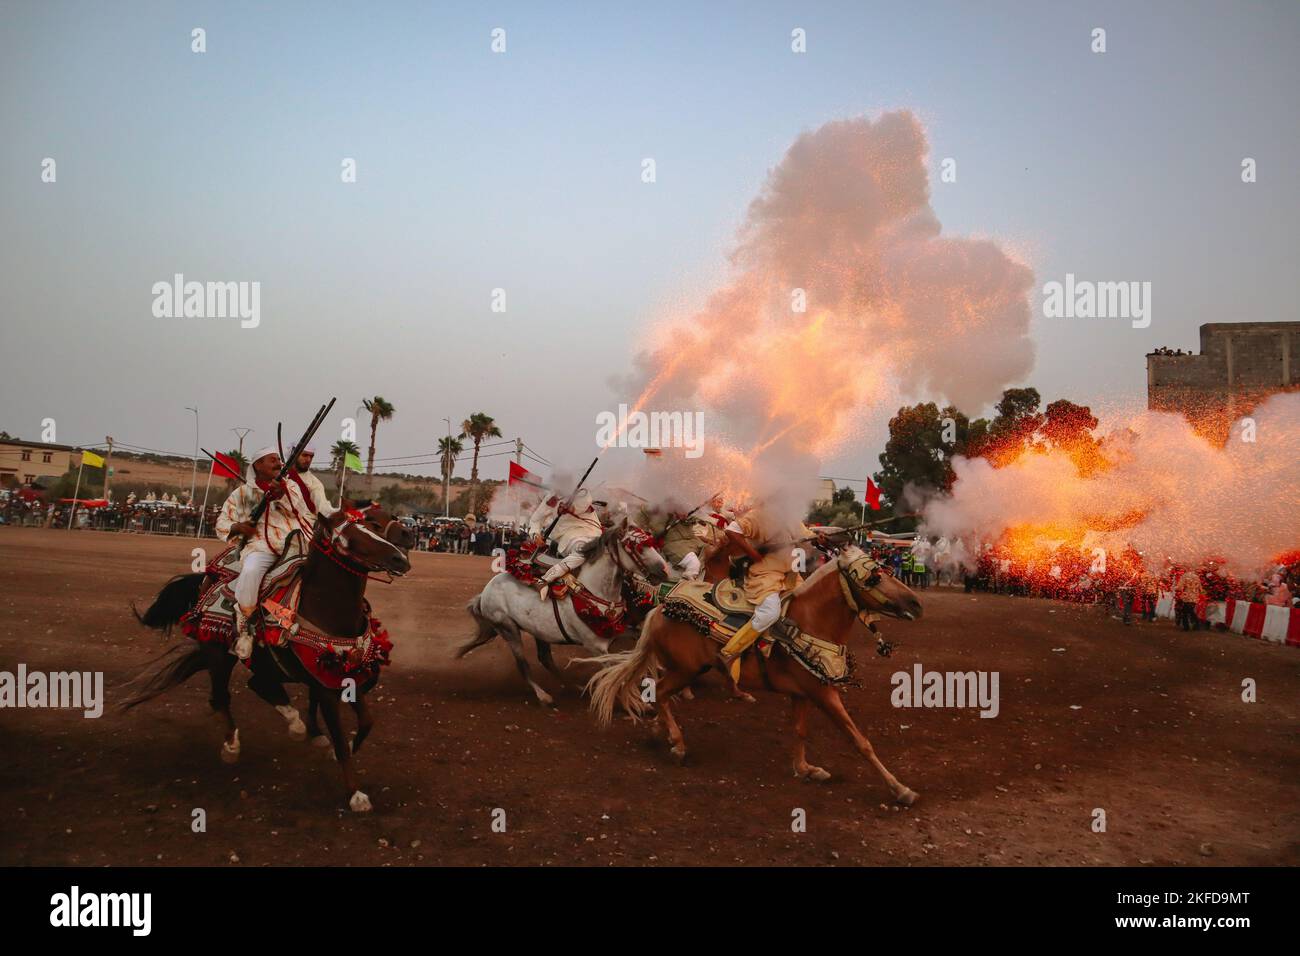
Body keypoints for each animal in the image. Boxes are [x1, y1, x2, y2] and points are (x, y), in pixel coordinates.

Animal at [124, 504, 413, 811]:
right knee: (222, 696)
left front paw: (339, 748)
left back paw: (298, 726)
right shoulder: (326, 687)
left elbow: (367, 723)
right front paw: (355, 795)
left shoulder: (348, 674)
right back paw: (232, 745)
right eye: (348, 538)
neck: (326, 610)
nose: (399, 556)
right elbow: (339, 733)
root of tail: (207, 578)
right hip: (218, 656)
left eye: (372, 525)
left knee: (257, 685)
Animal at [462, 520, 676, 707]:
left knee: (545, 658)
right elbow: (614, 672)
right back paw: (545, 696)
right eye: (637, 546)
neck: (594, 591)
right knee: (523, 665)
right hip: (508, 628)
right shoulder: (595, 646)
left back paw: (574, 687)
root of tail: (484, 593)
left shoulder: (616, 631)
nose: (665, 571)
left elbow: (639, 642)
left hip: (538, 632)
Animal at [585, 548, 930, 806]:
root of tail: (659, 610)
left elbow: (800, 731)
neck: (810, 622)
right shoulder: (823, 693)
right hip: (685, 670)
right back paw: (678, 744)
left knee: (662, 696)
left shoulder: (802, 693)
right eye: (875, 576)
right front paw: (901, 789)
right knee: (660, 691)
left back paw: (662, 732)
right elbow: (859, 739)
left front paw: (805, 769)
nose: (916, 603)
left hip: (683, 669)